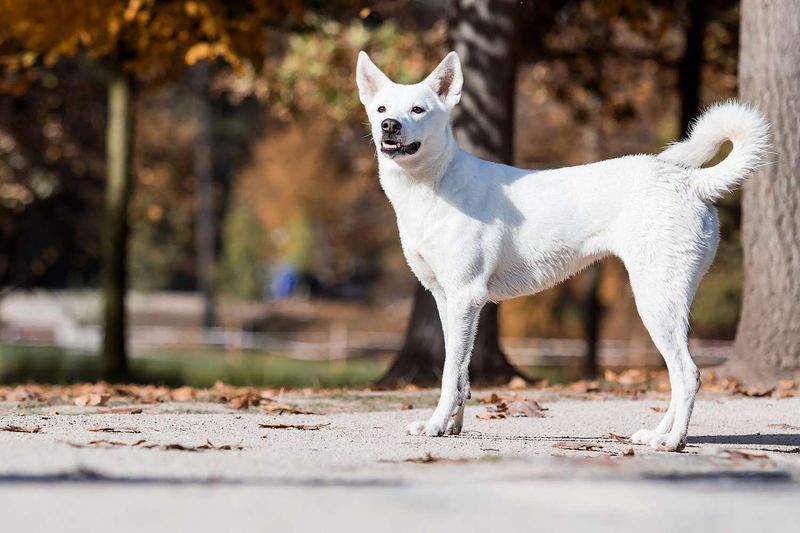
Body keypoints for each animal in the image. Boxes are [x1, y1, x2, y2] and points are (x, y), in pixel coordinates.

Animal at [356, 50, 768, 450]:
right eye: (381, 109)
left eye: (418, 110)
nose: (389, 125)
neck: (435, 183)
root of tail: (690, 182)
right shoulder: (448, 300)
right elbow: (460, 374)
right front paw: (453, 425)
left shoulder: (465, 296)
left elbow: (447, 374)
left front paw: (436, 425)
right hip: (668, 302)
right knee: (678, 375)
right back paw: (656, 433)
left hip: (655, 301)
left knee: (688, 373)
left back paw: (671, 441)